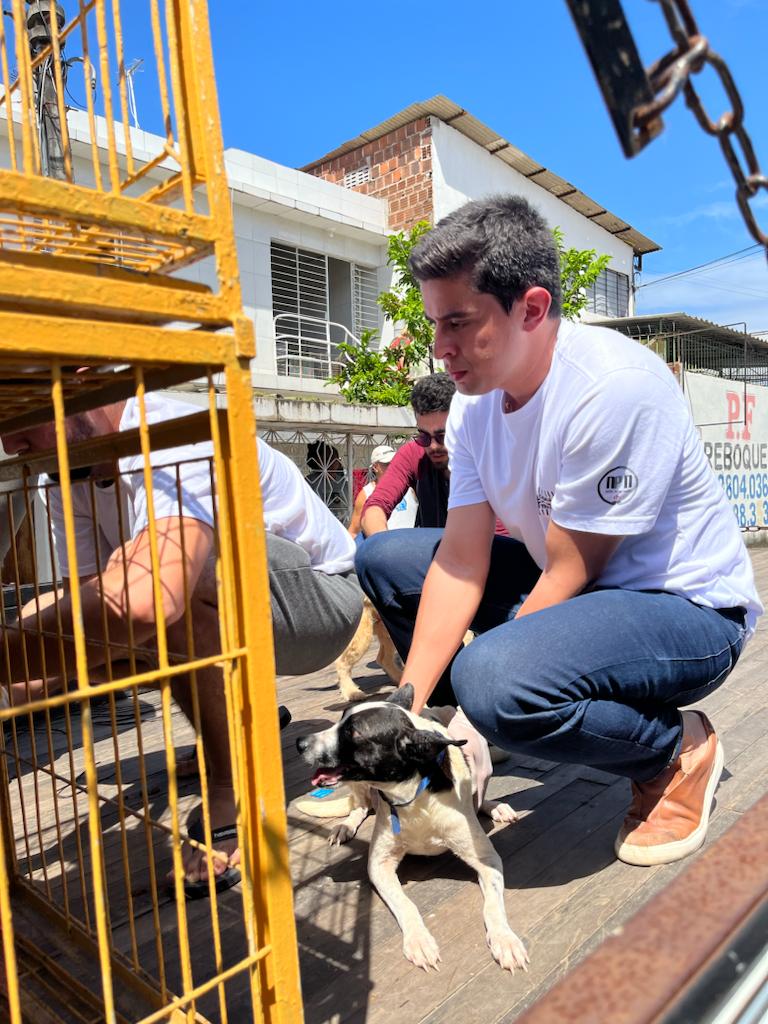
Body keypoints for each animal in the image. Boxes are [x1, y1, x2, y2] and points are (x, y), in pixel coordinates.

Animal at [296, 684, 532, 970]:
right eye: (340, 719)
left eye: (353, 733)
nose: (299, 743)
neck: (415, 799)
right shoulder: (379, 864)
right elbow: (406, 904)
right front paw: (419, 940)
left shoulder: (488, 860)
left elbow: (493, 906)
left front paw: (505, 939)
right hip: (358, 787)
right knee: (359, 806)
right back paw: (346, 826)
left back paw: (494, 806)